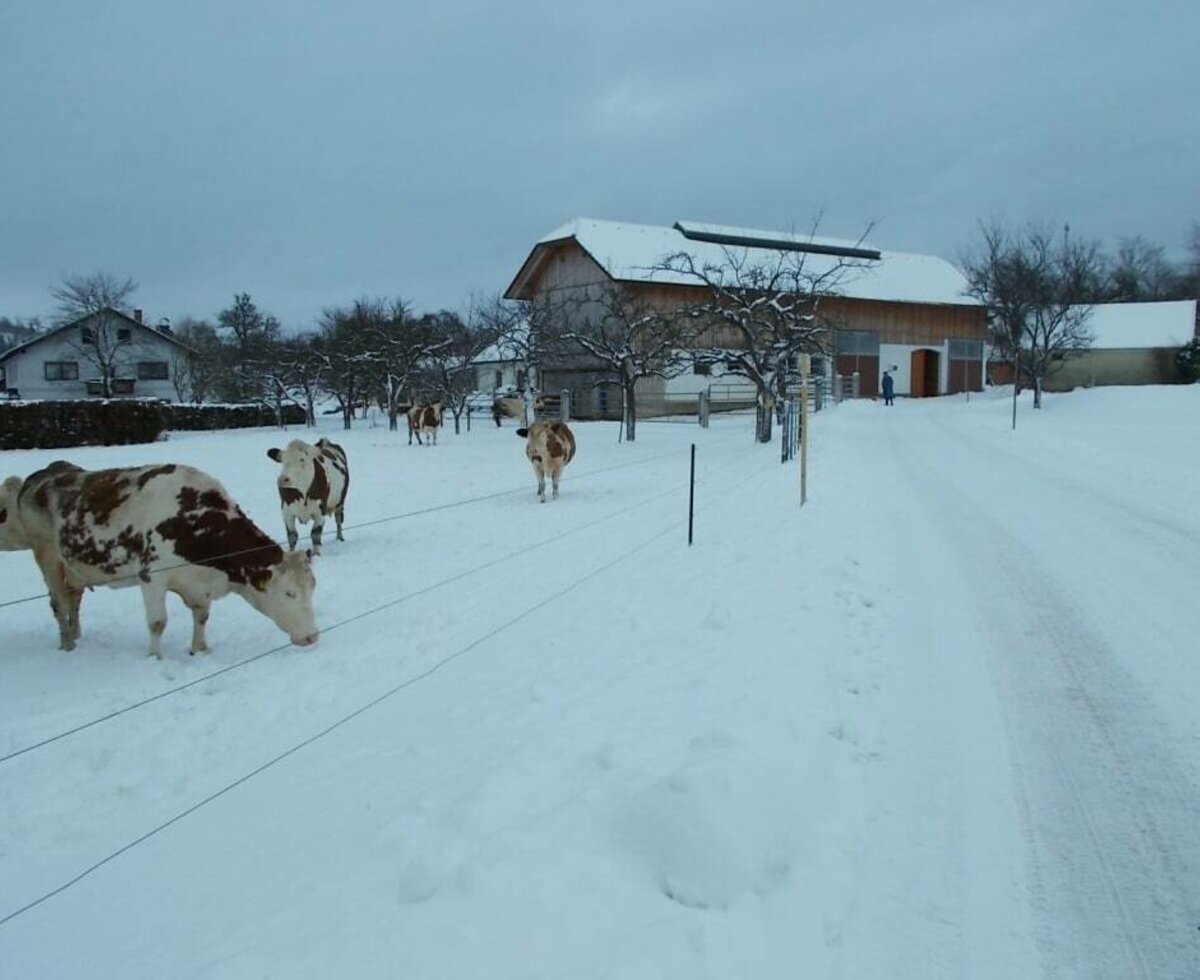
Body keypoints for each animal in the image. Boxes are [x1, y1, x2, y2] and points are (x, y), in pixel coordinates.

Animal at [10, 460, 319, 657]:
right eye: (289, 593)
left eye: (312, 589)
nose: (313, 636)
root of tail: (43, 475)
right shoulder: (152, 577)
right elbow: (157, 623)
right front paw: (154, 659)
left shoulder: (199, 584)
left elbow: (202, 616)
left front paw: (199, 650)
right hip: (47, 555)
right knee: (59, 602)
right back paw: (67, 646)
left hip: (73, 566)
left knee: (73, 598)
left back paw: (75, 636)